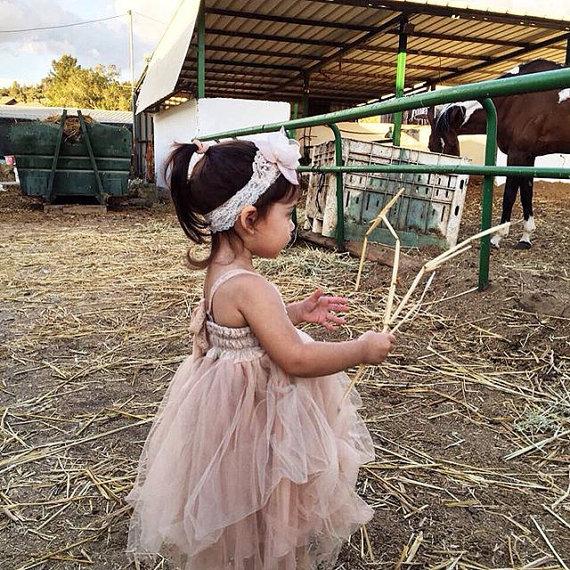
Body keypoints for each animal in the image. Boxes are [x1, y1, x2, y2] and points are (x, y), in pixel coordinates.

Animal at [426, 60, 568, 248]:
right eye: (430, 146)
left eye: (450, 145)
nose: (441, 182)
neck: (515, 99)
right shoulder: (528, 156)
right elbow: (526, 193)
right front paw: (525, 238)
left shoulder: (517, 154)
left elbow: (510, 194)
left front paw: (497, 237)